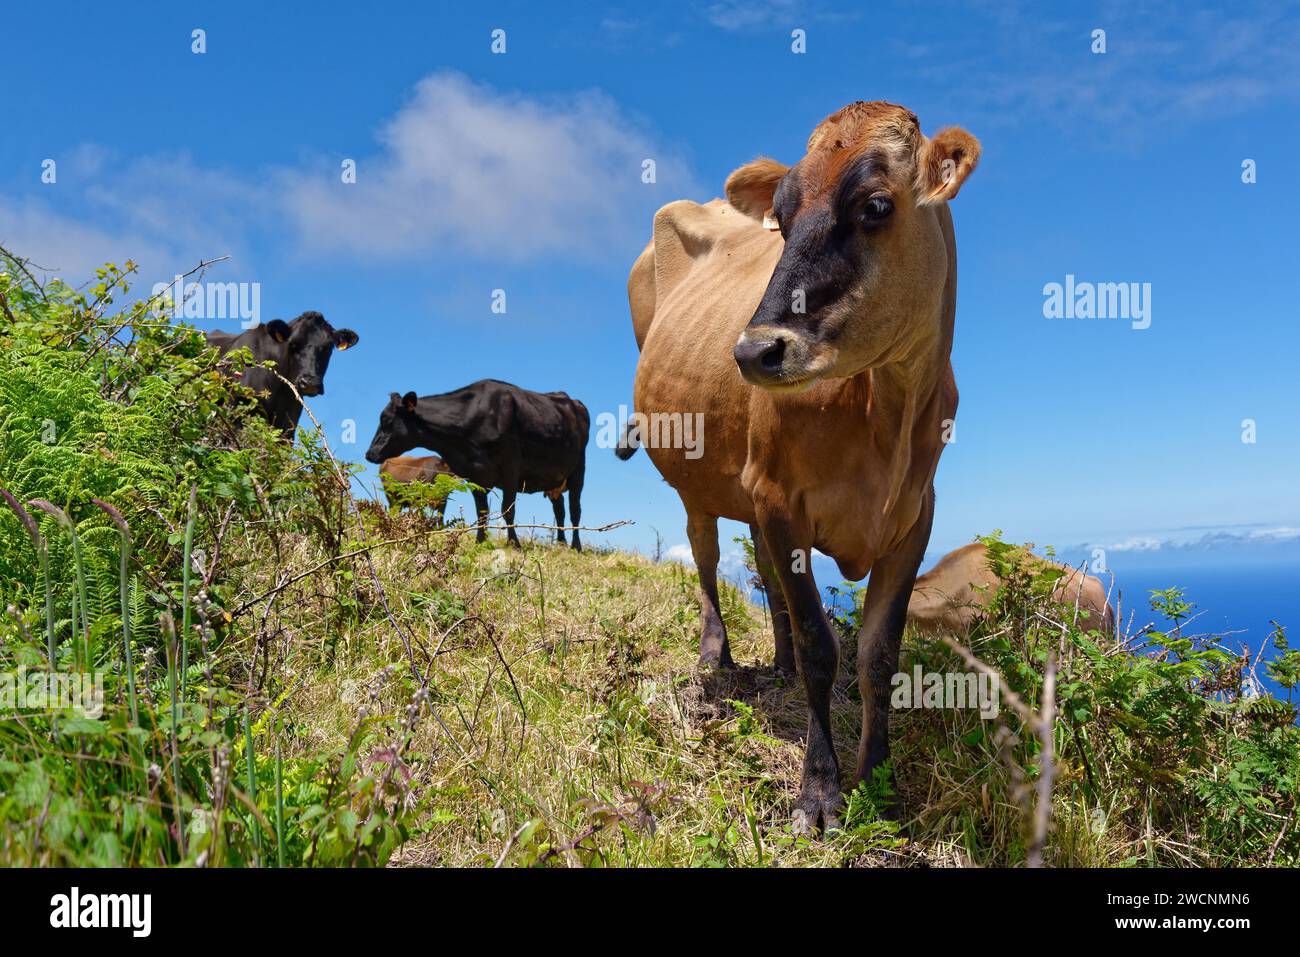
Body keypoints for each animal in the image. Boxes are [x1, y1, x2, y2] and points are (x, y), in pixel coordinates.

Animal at [366, 377, 590, 548]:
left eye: (386, 420)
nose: (370, 453)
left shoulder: (511, 467)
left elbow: (508, 509)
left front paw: (514, 544)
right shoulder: (475, 474)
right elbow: (481, 511)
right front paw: (480, 542)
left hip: (578, 468)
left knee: (575, 510)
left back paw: (575, 546)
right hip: (554, 479)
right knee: (559, 509)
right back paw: (560, 543)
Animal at [616, 98, 977, 832]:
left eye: (875, 205)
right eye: (781, 220)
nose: (754, 351)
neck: (886, 408)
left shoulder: (914, 517)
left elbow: (878, 658)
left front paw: (880, 783)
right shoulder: (782, 499)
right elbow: (819, 647)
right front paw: (820, 792)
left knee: (760, 568)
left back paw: (774, 661)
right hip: (701, 481)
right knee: (704, 553)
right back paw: (717, 654)